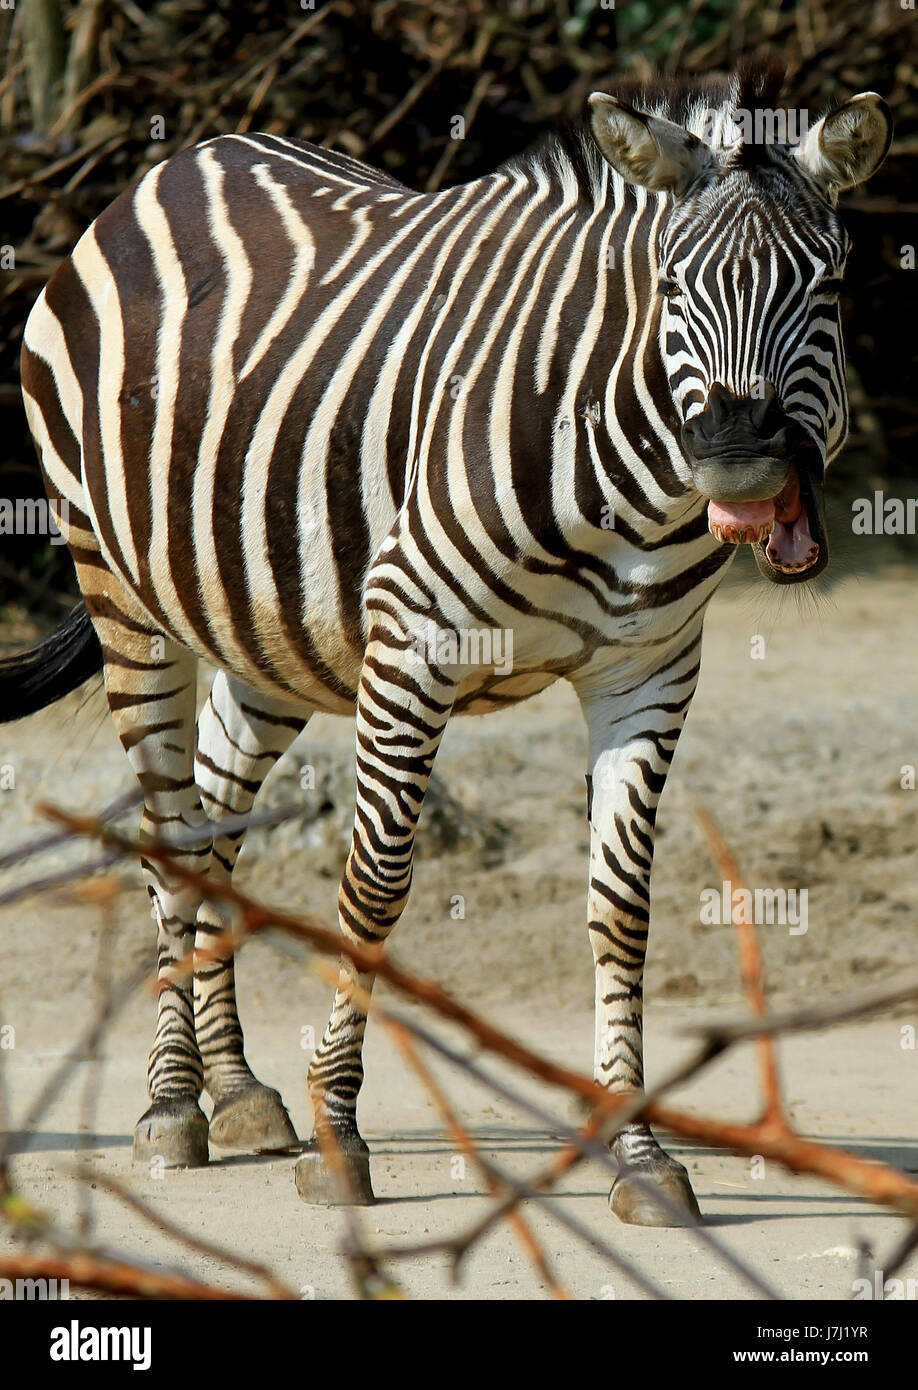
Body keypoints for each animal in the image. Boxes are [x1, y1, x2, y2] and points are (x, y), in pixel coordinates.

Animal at [0, 61, 891, 1226]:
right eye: (672, 288)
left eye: (825, 286)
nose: (740, 463)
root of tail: (178, 164)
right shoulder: (411, 641)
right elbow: (374, 884)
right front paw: (340, 1133)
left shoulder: (650, 672)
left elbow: (621, 906)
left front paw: (641, 1155)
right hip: (121, 591)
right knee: (171, 837)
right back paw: (173, 1108)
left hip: (266, 630)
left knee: (219, 819)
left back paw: (237, 1093)